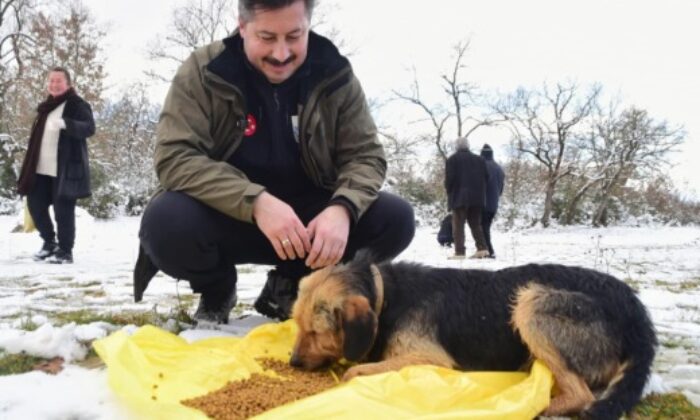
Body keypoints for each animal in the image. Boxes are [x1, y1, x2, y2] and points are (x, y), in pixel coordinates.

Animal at [290, 254, 656, 418]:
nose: (292, 363)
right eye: (297, 325)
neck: (387, 296)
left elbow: (353, 372)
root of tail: (637, 314)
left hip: (532, 304)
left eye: (316, 331)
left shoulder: (430, 358)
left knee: (582, 395)